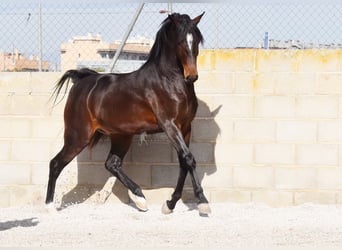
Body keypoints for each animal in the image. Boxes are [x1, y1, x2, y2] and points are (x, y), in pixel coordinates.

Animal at [46, 12, 210, 215]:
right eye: (180, 41)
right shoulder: (170, 125)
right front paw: (202, 201)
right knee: (55, 163)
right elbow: (188, 159)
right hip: (78, 136)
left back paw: (140, 199)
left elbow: (184, 162)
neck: (168, 81)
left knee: (112, 164)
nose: (191, 76)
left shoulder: (186, 127)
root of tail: (81, 81)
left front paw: (170, 204)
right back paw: (49, 206)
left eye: (196, 40)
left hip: (121, 136)